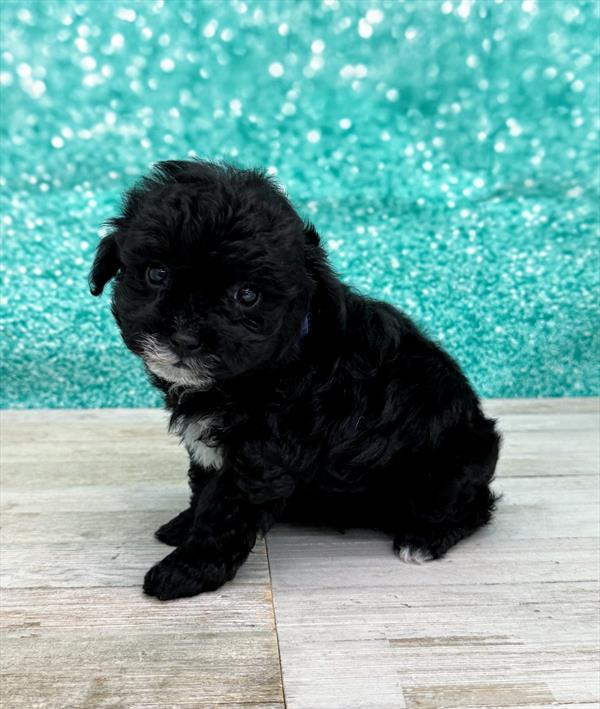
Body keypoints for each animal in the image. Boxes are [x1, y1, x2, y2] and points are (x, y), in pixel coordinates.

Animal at [90, 160, 502, 596]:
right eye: (157, 273)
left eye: (247, 295)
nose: (185, 338)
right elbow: (203, 488)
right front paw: (183, 527)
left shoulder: (261, 457)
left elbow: (221, 513)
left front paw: (186, 571)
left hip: (443, 470)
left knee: (470, 508)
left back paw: (422, 539)